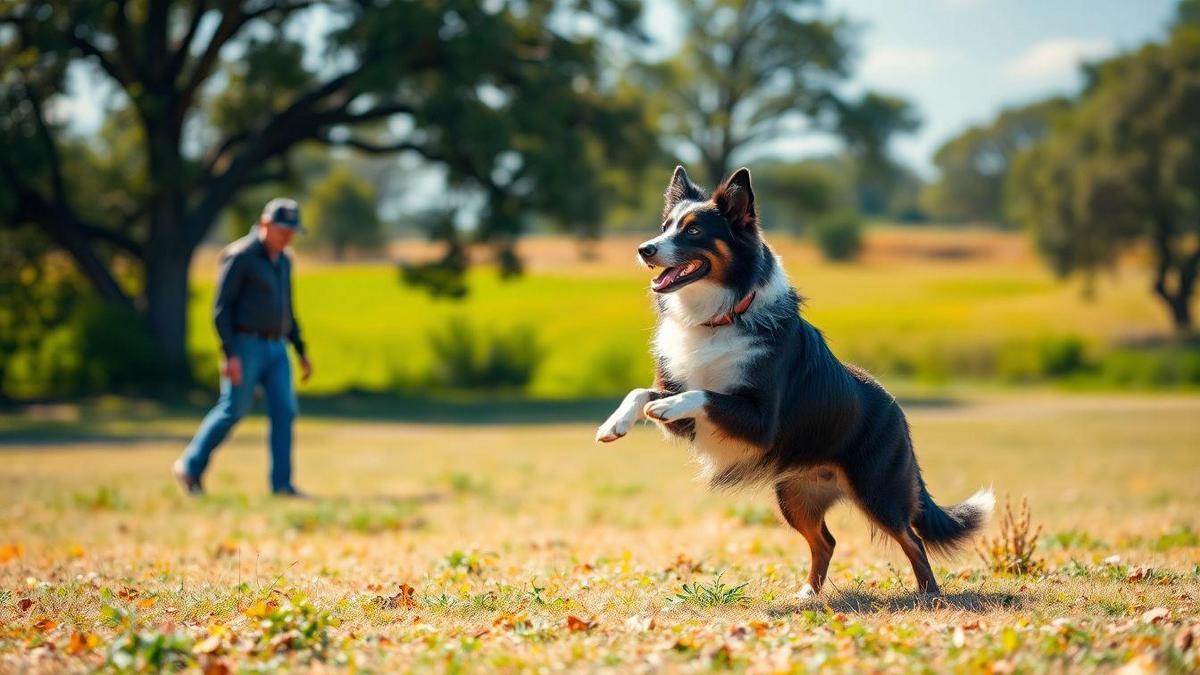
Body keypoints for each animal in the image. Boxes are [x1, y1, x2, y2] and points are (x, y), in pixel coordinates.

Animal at [592, 164, 993, 593]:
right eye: (665, 226)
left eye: (694, 231)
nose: (644, 249)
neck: (721, 316)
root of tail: (897, 411)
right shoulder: (690, 424)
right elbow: (643, 392)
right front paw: (613, 424)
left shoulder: (760, 422)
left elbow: (704, 394)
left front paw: (661, 406)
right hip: (793, 494)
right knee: (826, 541)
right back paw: (808, 594)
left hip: (878, 490)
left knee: (912, 540)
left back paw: (929, 594)